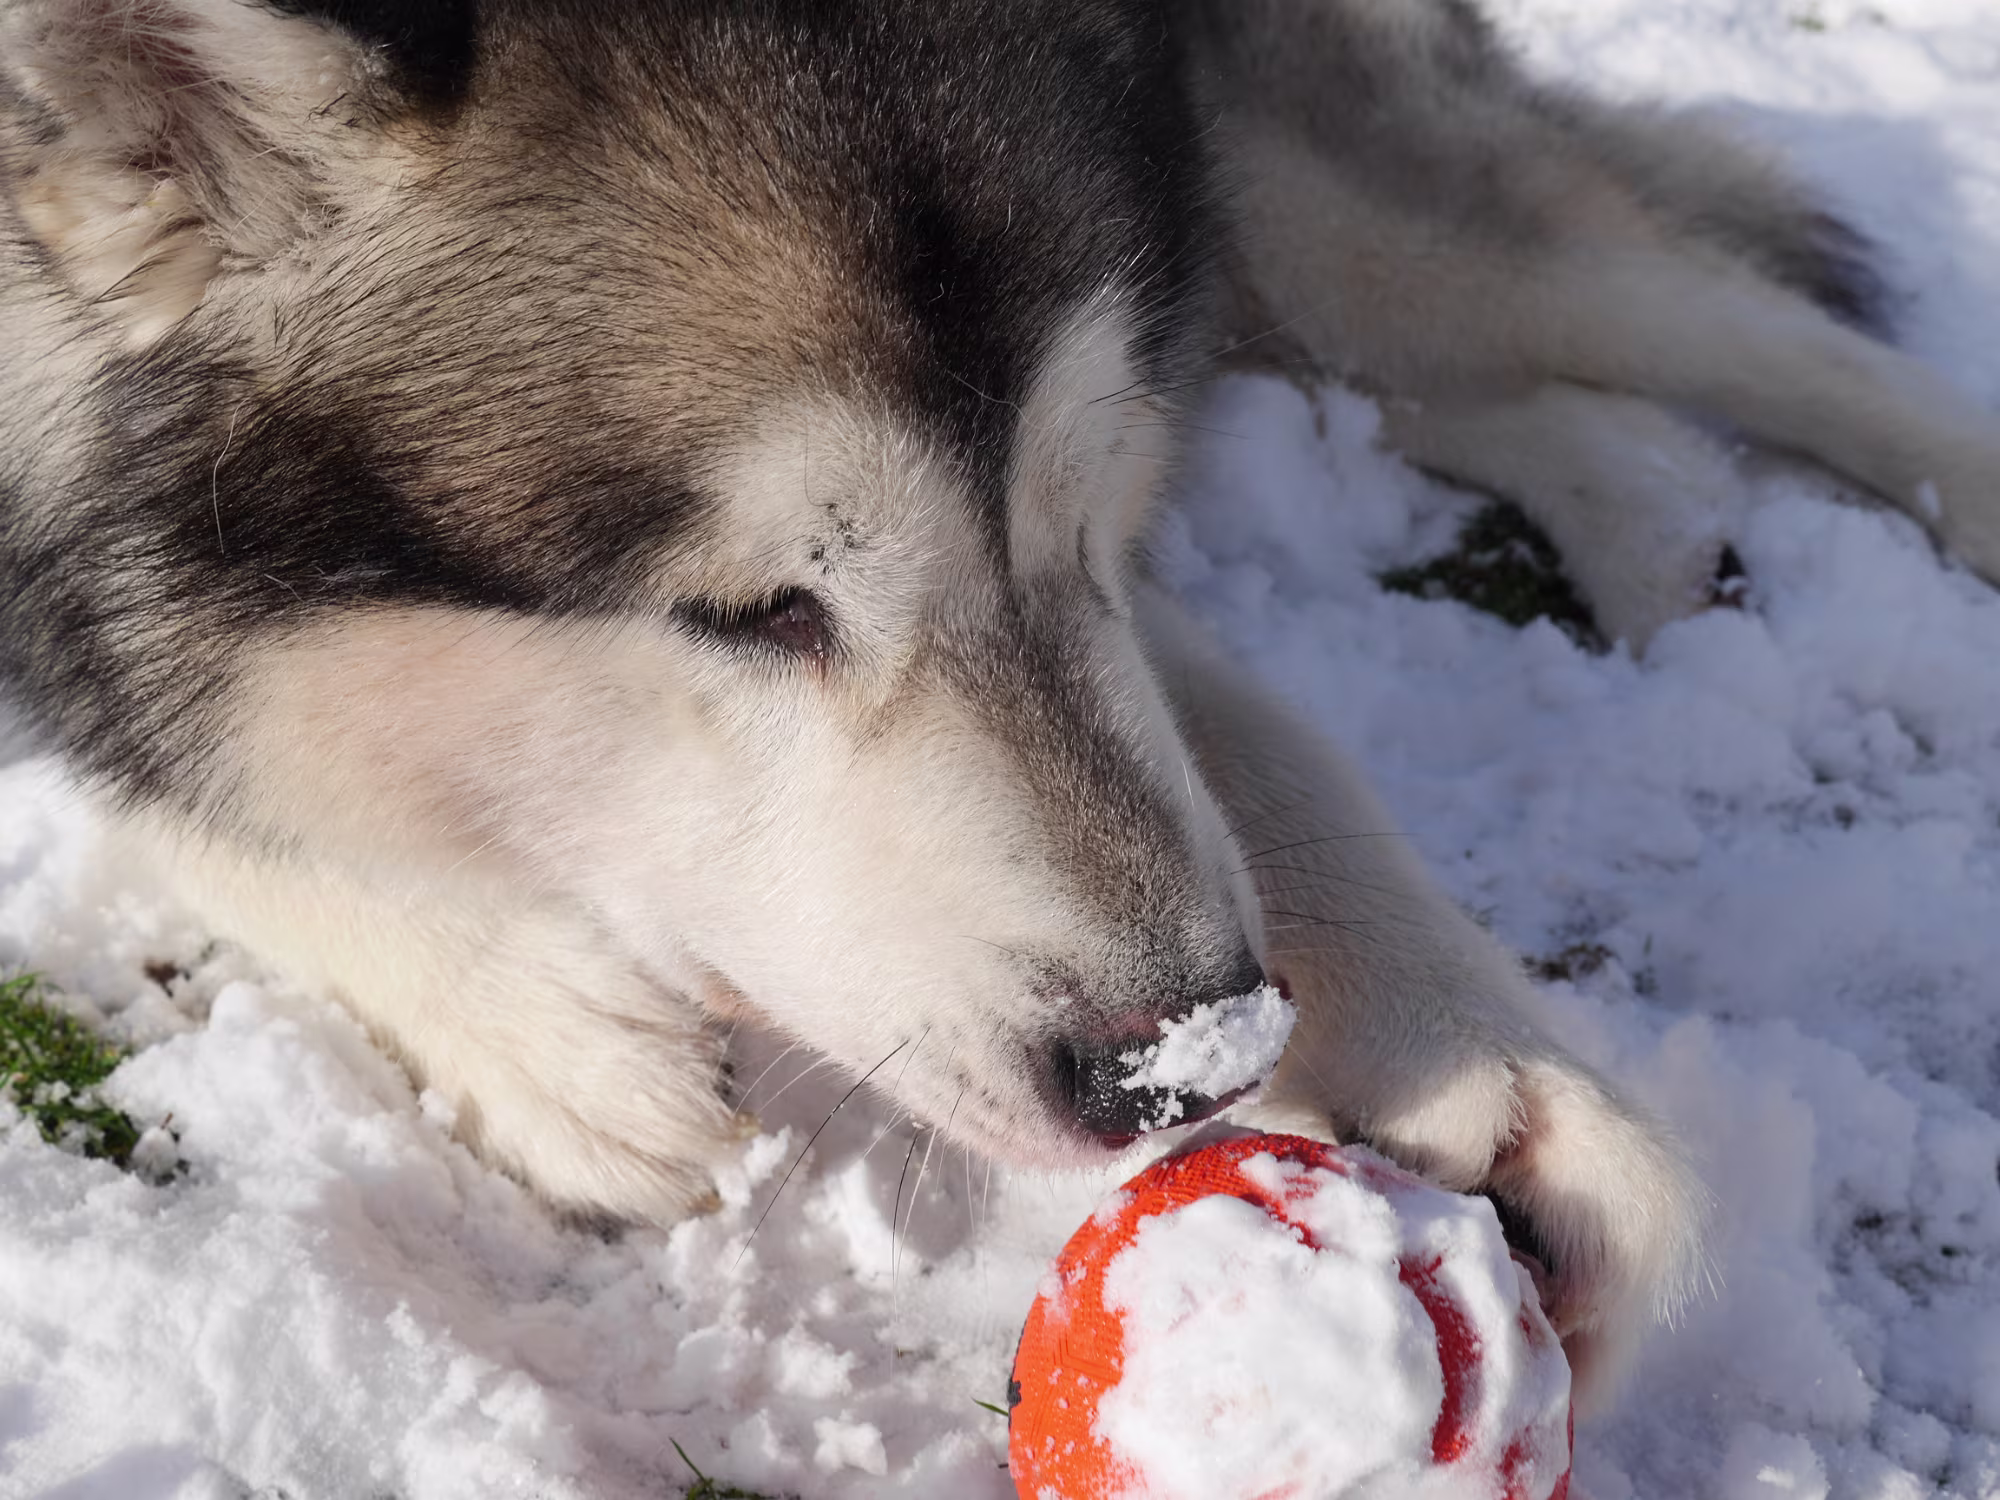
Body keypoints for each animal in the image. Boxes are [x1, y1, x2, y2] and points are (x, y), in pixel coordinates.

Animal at [5, 0, 1996, 1409]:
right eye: (759, 609)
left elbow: (1247, 743)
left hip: (1339, 196)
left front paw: (1493, 1065)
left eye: (1088, 519)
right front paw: (528, 1016)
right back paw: (1653, 527)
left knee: (1699, 325)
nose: (1189, 1064)